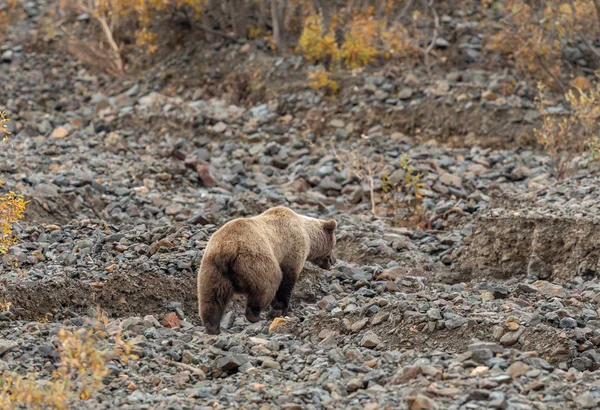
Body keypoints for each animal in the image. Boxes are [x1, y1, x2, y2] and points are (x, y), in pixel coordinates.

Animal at [198, 207, 336, 334]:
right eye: (334, 244)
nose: (333, 261)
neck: (307, 234)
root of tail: (227, 249)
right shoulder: (292, 250)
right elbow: (286, 280)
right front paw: (282, 307)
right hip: (255, 260)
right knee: (267, 284)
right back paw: (255, 315)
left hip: (213, 268)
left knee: (213, 297)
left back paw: (212, 327)